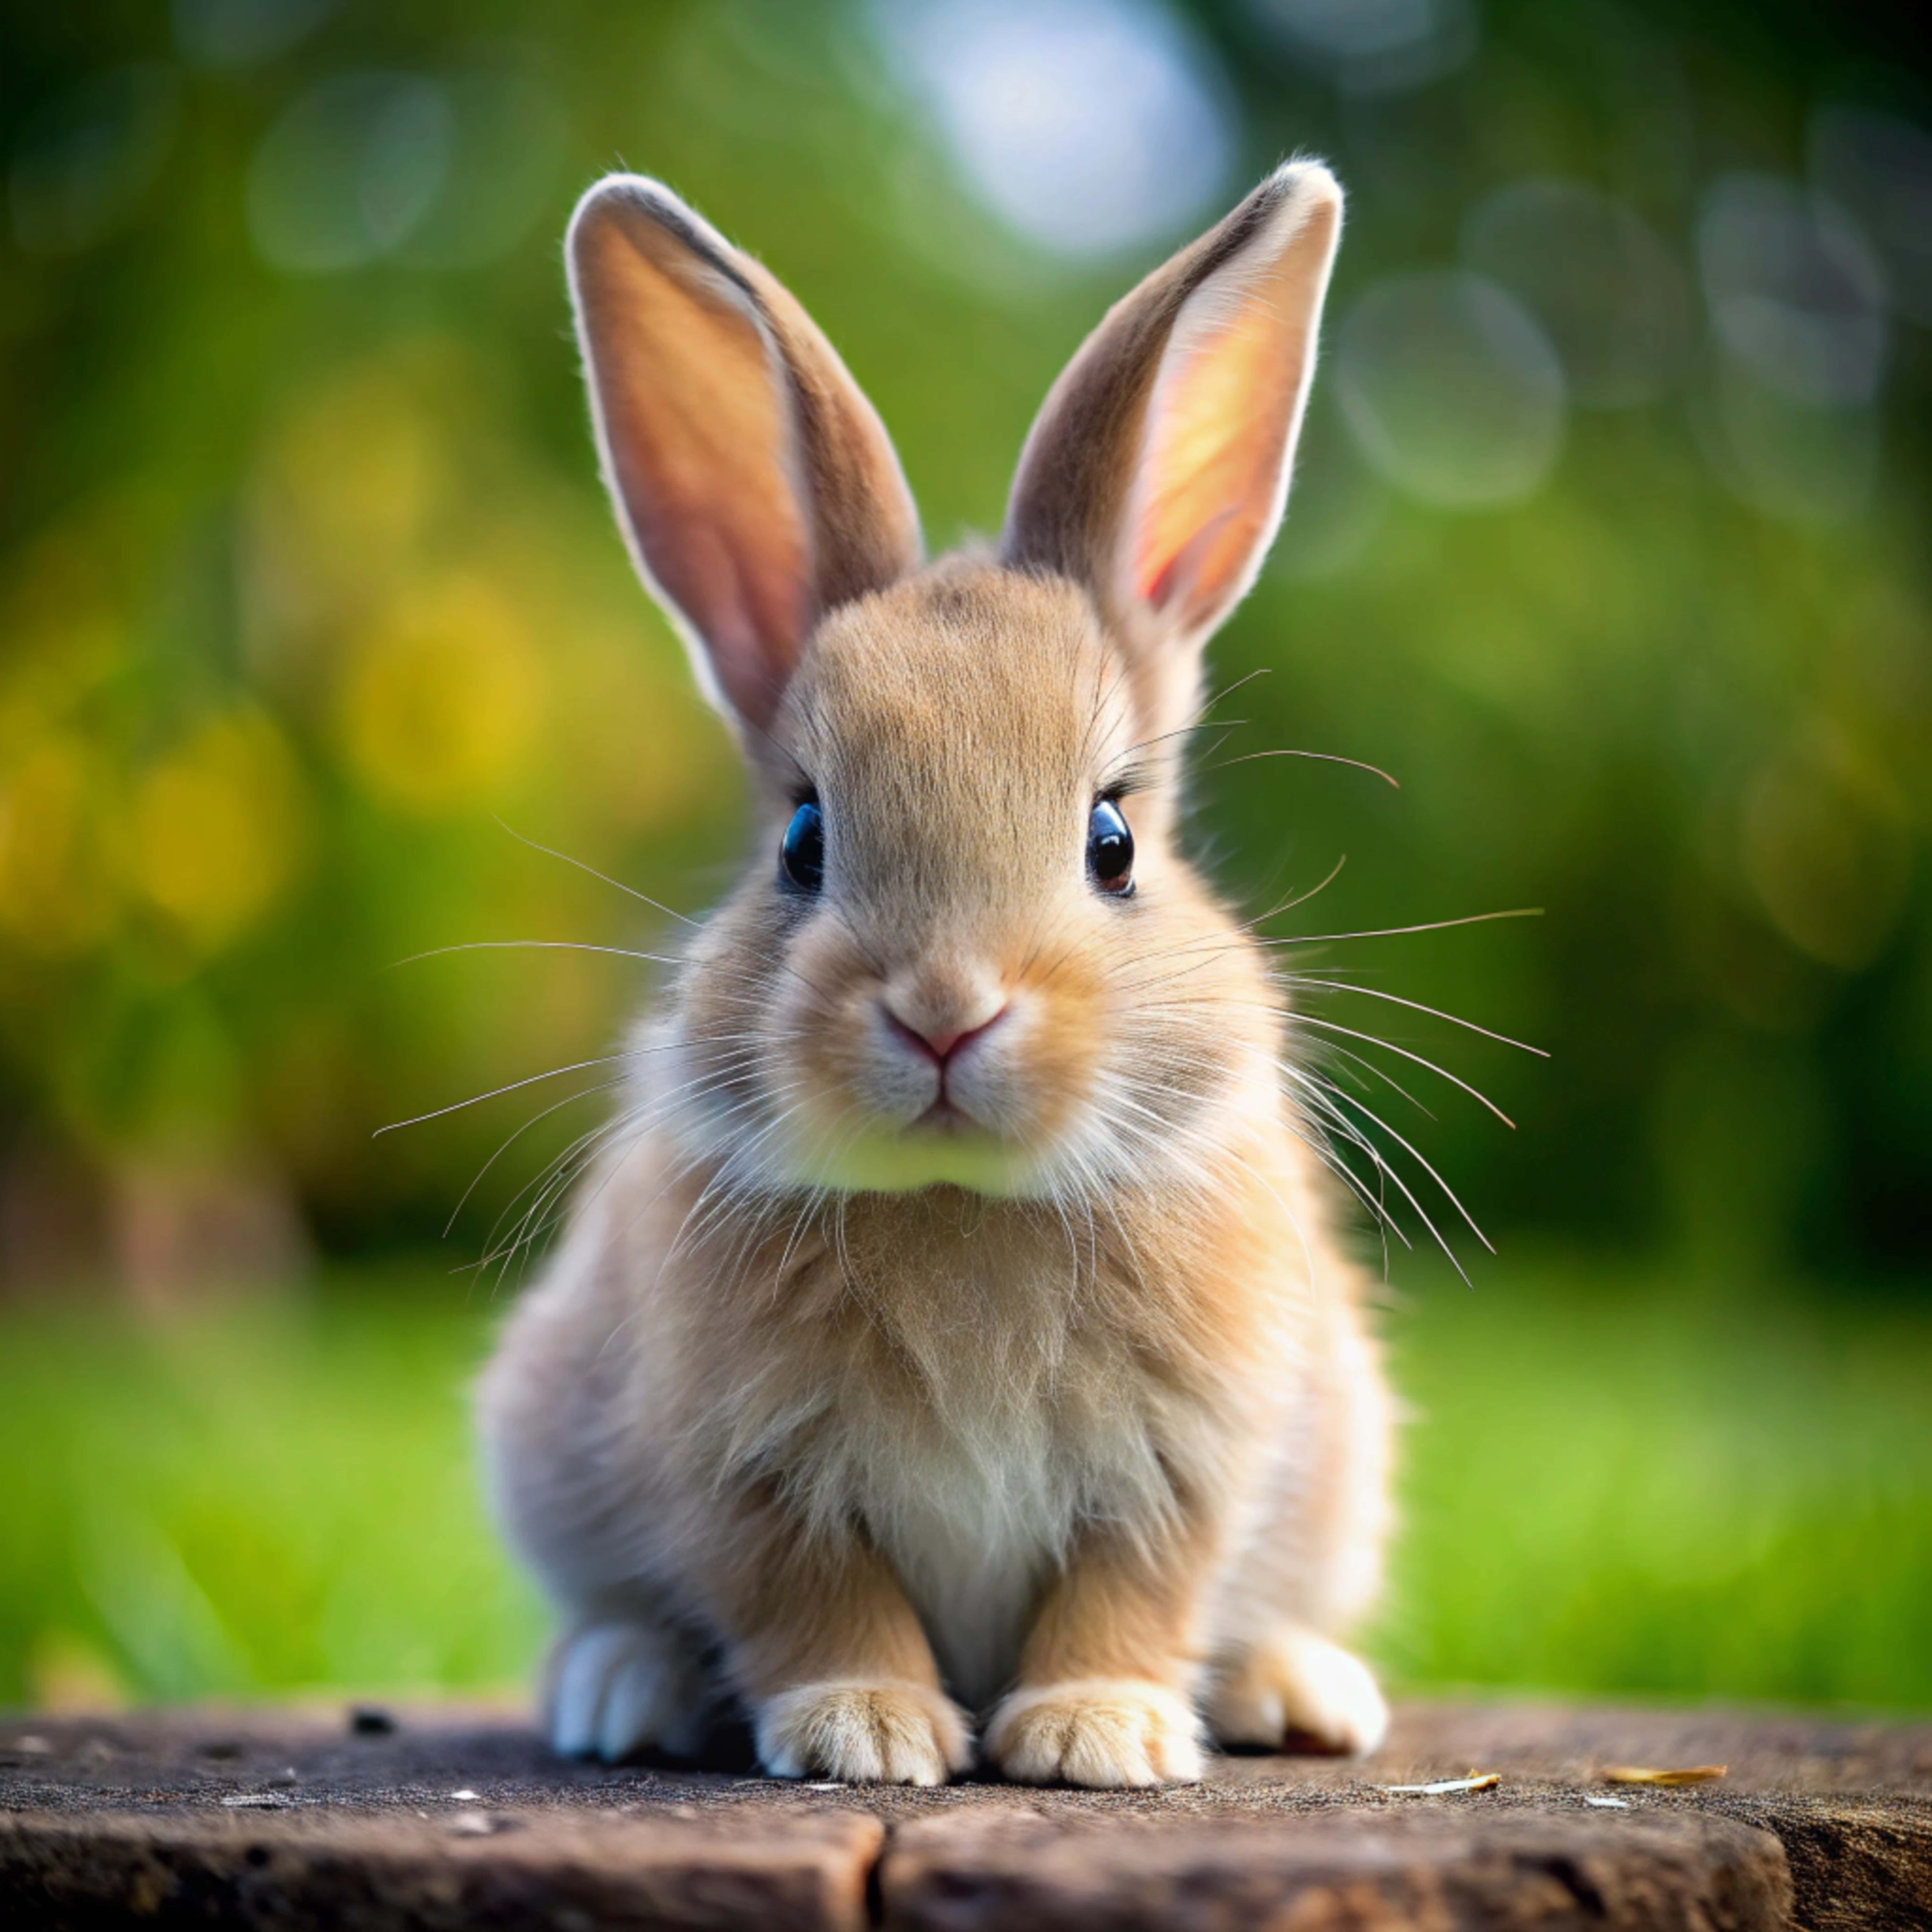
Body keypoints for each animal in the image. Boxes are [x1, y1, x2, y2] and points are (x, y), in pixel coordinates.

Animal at [475, 158, 1395, 1790]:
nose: (946, 1012)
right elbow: (813, 1597)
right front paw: (869, 1733)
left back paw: (1297, 1694)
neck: (966, 1206)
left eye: (1112, 839)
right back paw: (621, 1691)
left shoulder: (1189, 1462)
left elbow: (1133, 1588)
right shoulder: (741, 1467)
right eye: (802, 836)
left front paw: (1092, 1736)